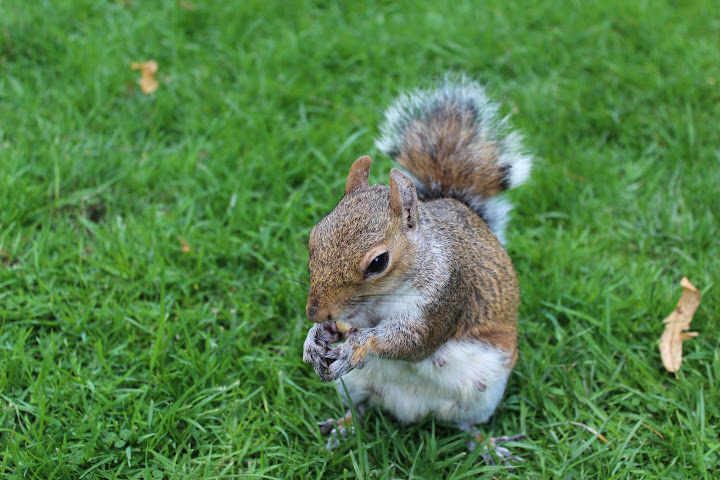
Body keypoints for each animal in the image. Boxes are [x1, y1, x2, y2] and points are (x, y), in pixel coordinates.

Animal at [300, 74, 532, 458]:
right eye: (313, 236)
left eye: (379, 262)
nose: (315, 312)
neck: (384, 298)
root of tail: (410, 412)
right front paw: (316, 337)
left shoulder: (447, 294)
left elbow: (413, 342)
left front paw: (357, 344)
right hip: (356, 387)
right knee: (360, 409)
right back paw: (342, 426)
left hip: (482, 395)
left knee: (466, 426)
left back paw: (488, 446)